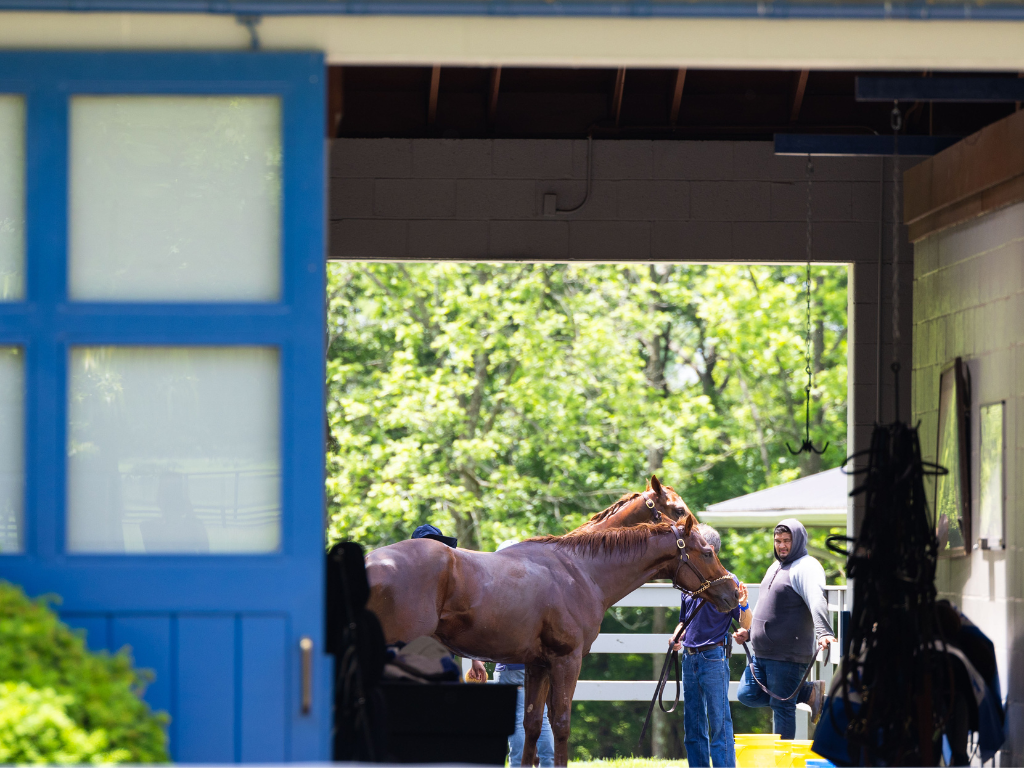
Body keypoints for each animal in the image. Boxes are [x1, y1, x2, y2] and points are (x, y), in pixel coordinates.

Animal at [368, 520, 737, 765]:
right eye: (707, 552)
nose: (734, 592)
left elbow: (532, 728)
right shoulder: (566, 660)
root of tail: (371, 563)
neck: (581, 572)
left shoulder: (537, 664)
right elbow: (560, 724)